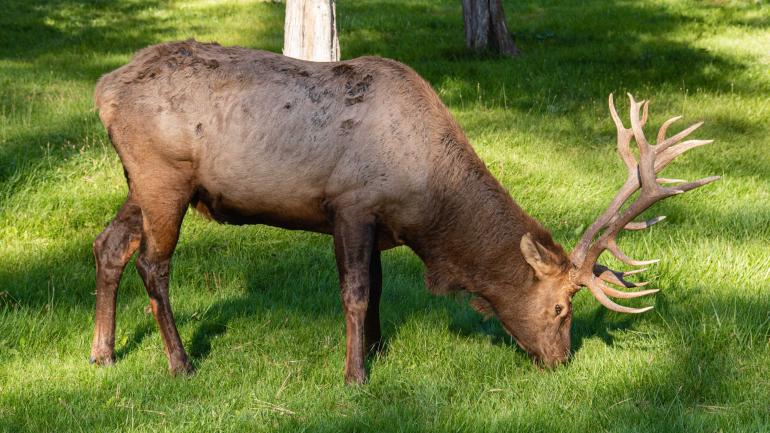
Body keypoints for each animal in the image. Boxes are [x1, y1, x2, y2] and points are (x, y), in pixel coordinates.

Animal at [90, 39, 712, 382]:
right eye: (561, 308)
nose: (561, 361)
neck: (424, 207)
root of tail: (104, 90)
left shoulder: (380, 223)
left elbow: (380, 291)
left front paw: (378, 349)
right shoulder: (351, 204)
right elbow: (356, 292)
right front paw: (355, 374)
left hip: (140, 182)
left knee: (109, 245)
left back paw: (102, 353)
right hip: (164, 176)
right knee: (152, 264)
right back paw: (180, 364)